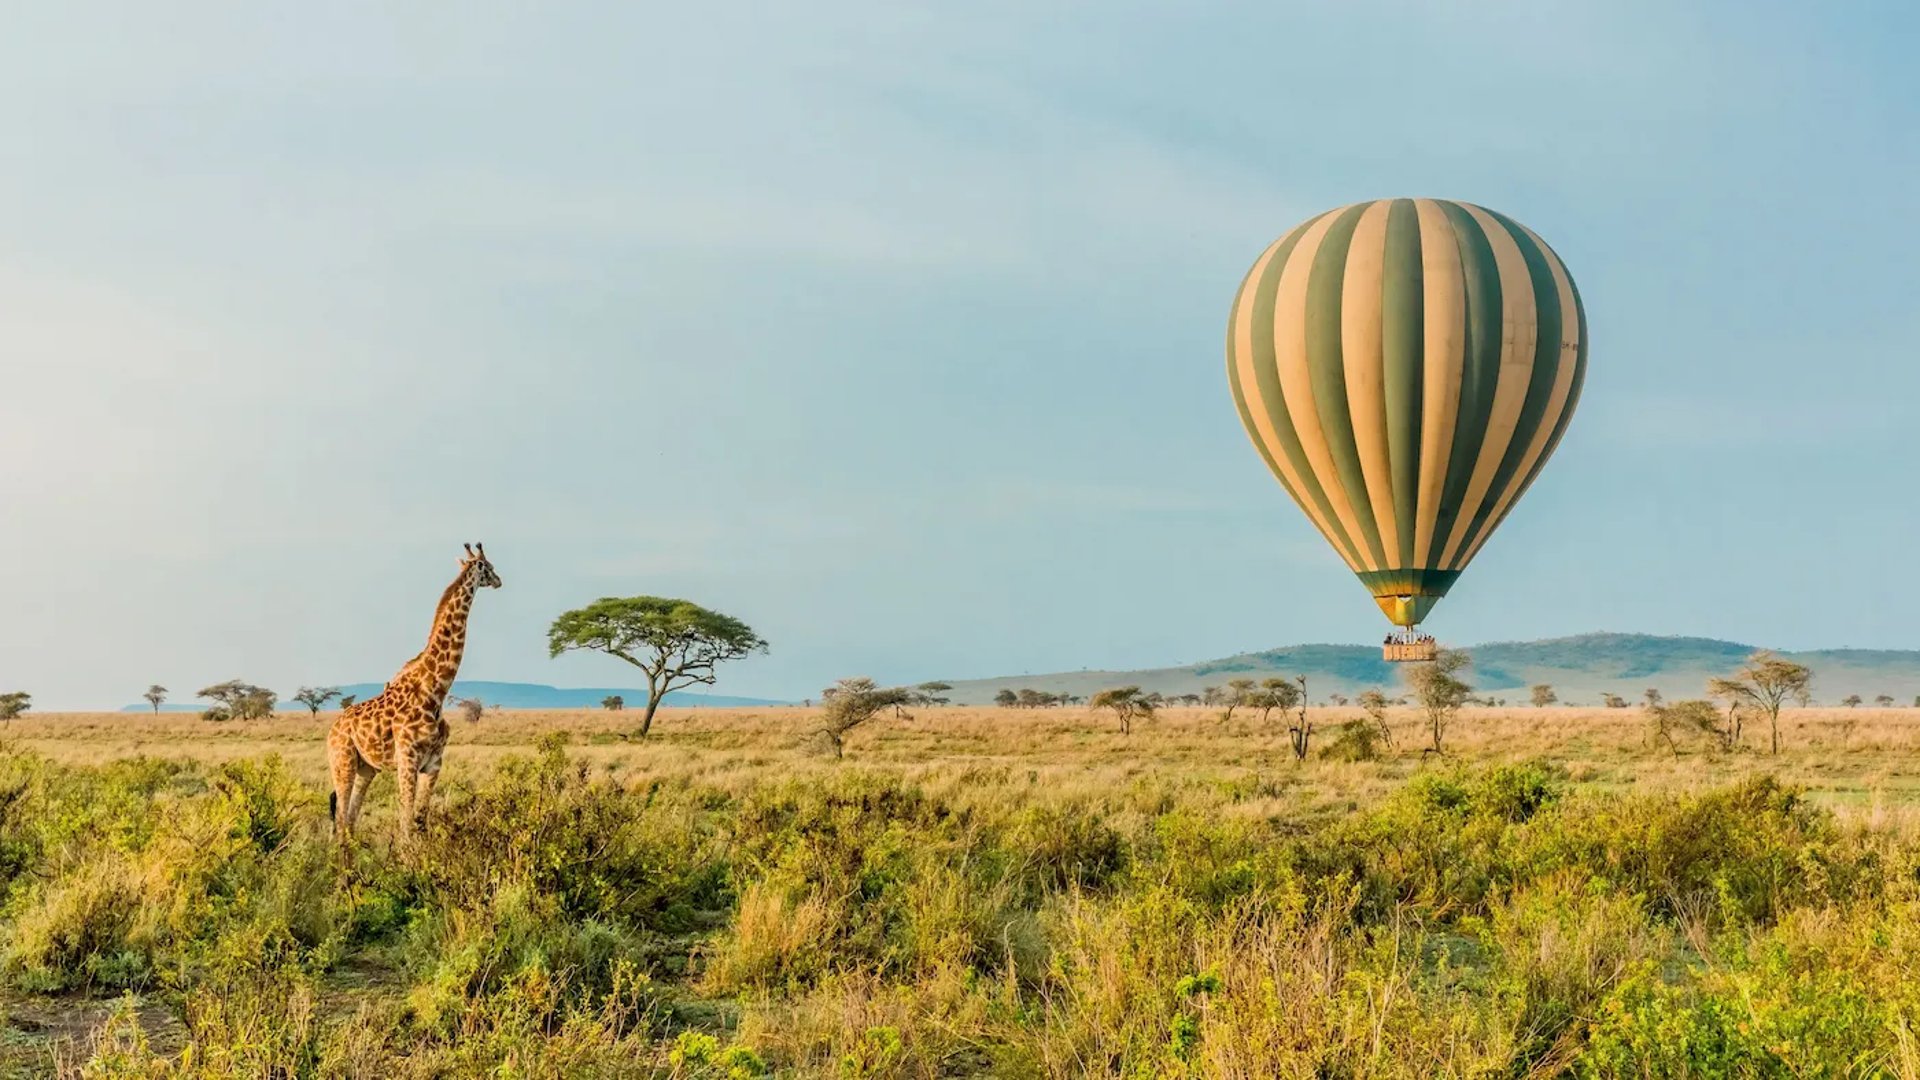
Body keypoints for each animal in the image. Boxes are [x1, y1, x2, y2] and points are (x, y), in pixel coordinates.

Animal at [329, 542, 501, 843]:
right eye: (489, 567)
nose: (499, 580)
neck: (436, 690)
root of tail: (330, 732)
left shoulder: (434, 764)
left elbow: (420, 820)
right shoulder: (407, 760)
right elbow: (406, 822)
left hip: (366, 768)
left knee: (350, 819)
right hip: (343, 762)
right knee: (340, 820)